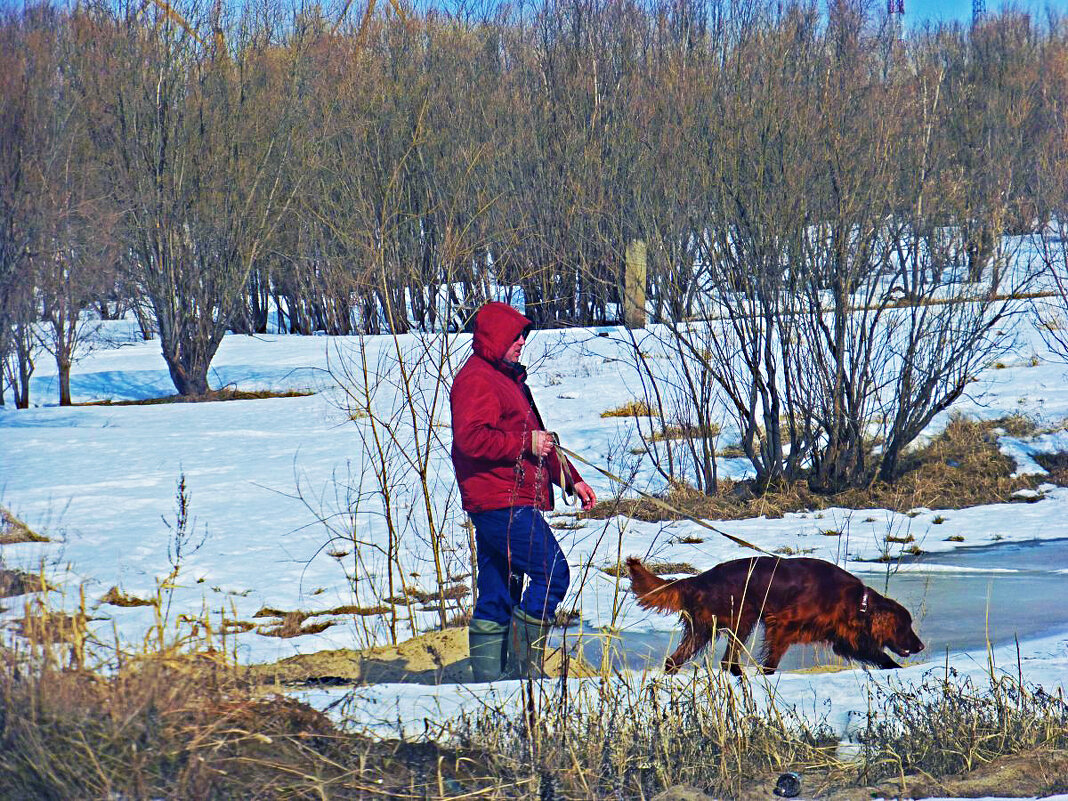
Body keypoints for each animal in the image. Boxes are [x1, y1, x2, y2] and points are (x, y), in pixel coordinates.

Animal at [627, 559, 922, 679]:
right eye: (905, 626)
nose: (920, 646)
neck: (856, 601)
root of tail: (698, 579)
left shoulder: (844, 639)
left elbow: (878, 655)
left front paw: (896, 669)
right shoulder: (781, 626)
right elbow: (772, 661)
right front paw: (767, 676)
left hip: (716, 627)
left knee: (685, 660)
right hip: (738, 620)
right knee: (724, 659)